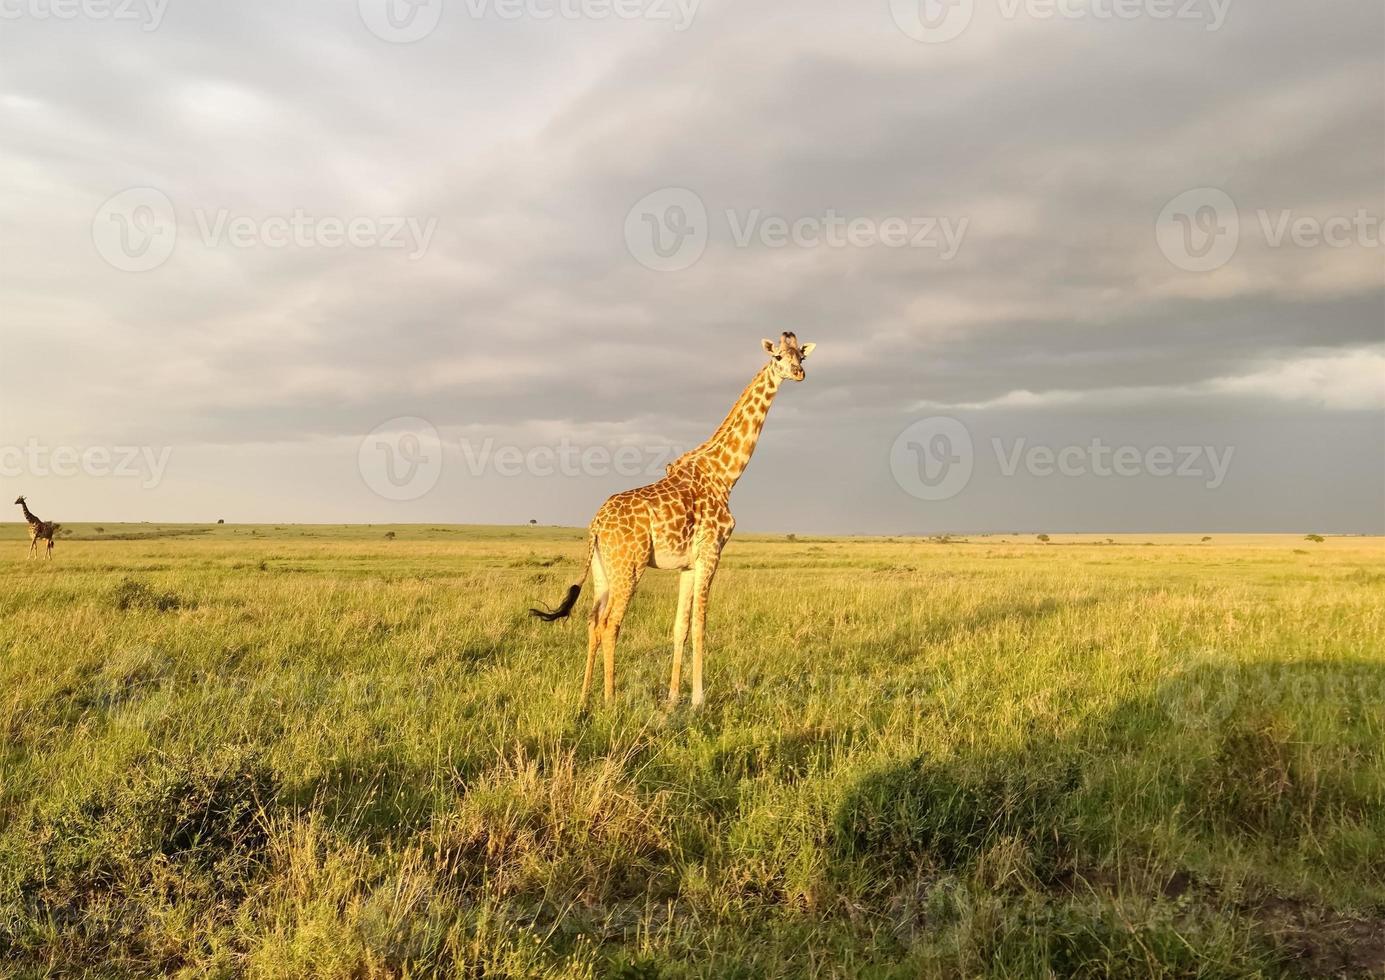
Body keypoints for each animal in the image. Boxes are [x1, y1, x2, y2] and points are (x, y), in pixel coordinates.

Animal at [526, 333, 808, 708]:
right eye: (778, 357)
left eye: (800, 355)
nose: (799, 373)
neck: (724, 475)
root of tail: (596, 525)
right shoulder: (710, 553)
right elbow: (701, 624)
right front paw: (699, 699)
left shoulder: (687, 564)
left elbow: (680, 627)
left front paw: (675, 697)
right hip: (629, 567)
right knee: (611, 624)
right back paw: (610, 699)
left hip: (602, 569)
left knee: (592, 620)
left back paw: (585, 696)